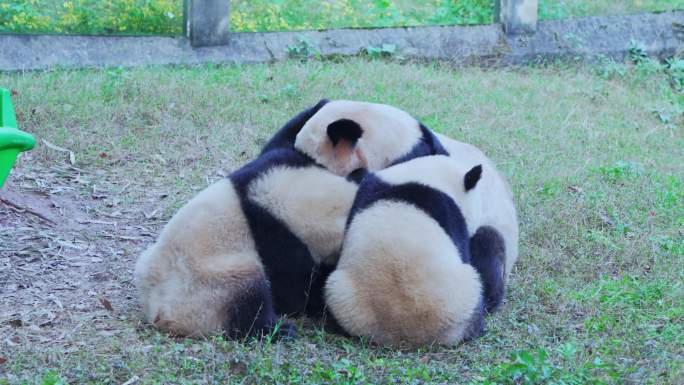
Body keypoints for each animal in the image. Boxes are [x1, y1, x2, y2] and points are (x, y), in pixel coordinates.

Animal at [134, 147, 358, 336]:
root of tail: (157, 313)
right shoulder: (273, 237)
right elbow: (295, 291)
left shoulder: (267, 169)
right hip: (208, 286)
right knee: (248, 296)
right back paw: (277, 330)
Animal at [324, 154, 504, 346]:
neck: (427, 177)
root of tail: (407, 332)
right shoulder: (451, 214)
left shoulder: (368, 190)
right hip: (464, 298)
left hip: (343, 296)